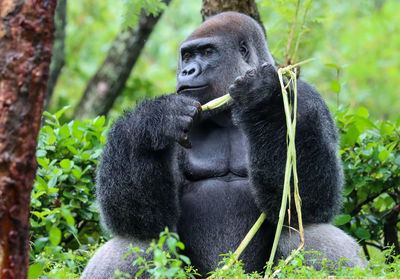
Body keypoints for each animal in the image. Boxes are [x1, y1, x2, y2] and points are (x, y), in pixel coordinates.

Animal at [81, 12, 366, 278]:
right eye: (187, 56)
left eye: (207, 52)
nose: (187, 71)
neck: (226, 113)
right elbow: (144, 219)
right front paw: (152, 121)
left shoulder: (306, 99)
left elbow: (309, 202)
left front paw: (266, 101)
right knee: (138, 242)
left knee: (308, 232)